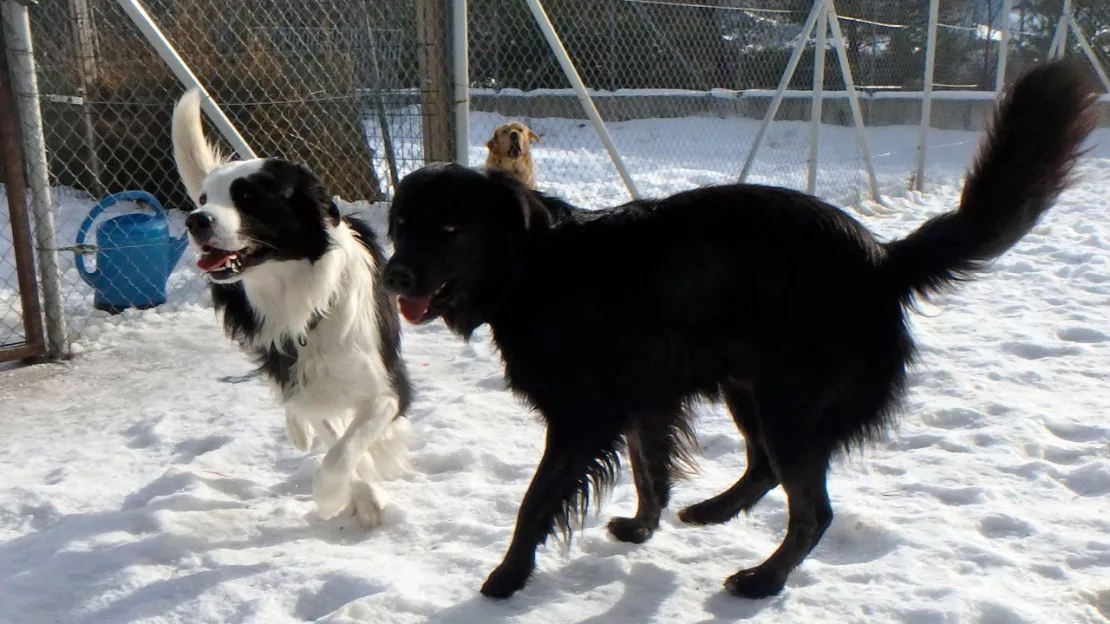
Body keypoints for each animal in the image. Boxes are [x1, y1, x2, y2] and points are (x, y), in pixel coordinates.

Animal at [170, 88, 415, 524]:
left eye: (248, 197)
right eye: (203, 198)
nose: (195, 220)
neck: (297, 292)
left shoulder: (388, 387)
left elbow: (347, 446)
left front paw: (333, 494)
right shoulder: (300, 375)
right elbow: (332, 436)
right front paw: (357, 493)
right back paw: (299, 433)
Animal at [381, 61, 1101, 599]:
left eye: (450, 228)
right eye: (401, 226)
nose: (391, 276)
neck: (533, 267)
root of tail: (881, 259)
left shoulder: (583, 418)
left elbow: (535, 503)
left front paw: (506, 577)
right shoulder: (644, 397)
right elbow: (649, 470)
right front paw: (643, 528)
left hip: (789, 400)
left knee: (811, 508)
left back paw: (762, 580)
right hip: (747, 385)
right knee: (762, 468)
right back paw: (712, 512)